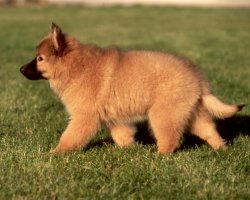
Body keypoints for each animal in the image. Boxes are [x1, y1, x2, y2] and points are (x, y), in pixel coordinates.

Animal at [20, 23, 244, 155]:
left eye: (40, 59)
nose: (20, 69)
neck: (76, 66)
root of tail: (198, 78)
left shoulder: (84, 117)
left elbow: (69, 137)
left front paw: (55, 153)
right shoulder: (115, 118)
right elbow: (122, 135)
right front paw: (130, 149)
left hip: (164, 114)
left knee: (170, 139)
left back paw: (160, 157)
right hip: (189, 112)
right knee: (209, 130)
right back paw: (222, 149)